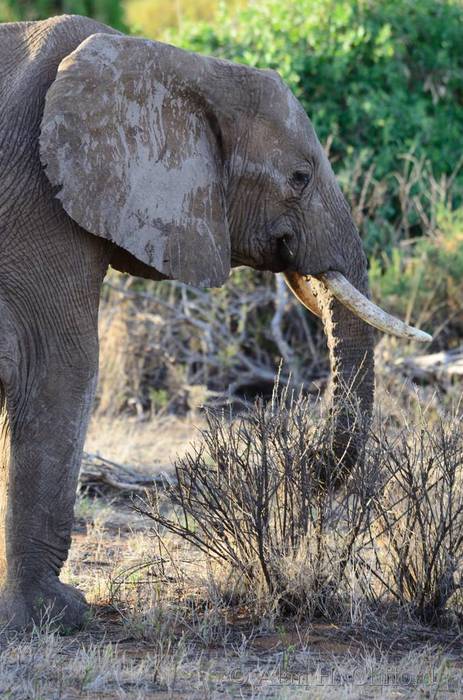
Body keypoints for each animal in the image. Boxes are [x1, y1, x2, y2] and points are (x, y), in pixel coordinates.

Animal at [0, 14, 430, 629]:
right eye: (300, 178)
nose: (309, 466)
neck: (179, 64)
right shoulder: (41, 208)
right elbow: (61, 372)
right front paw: (57, 616)